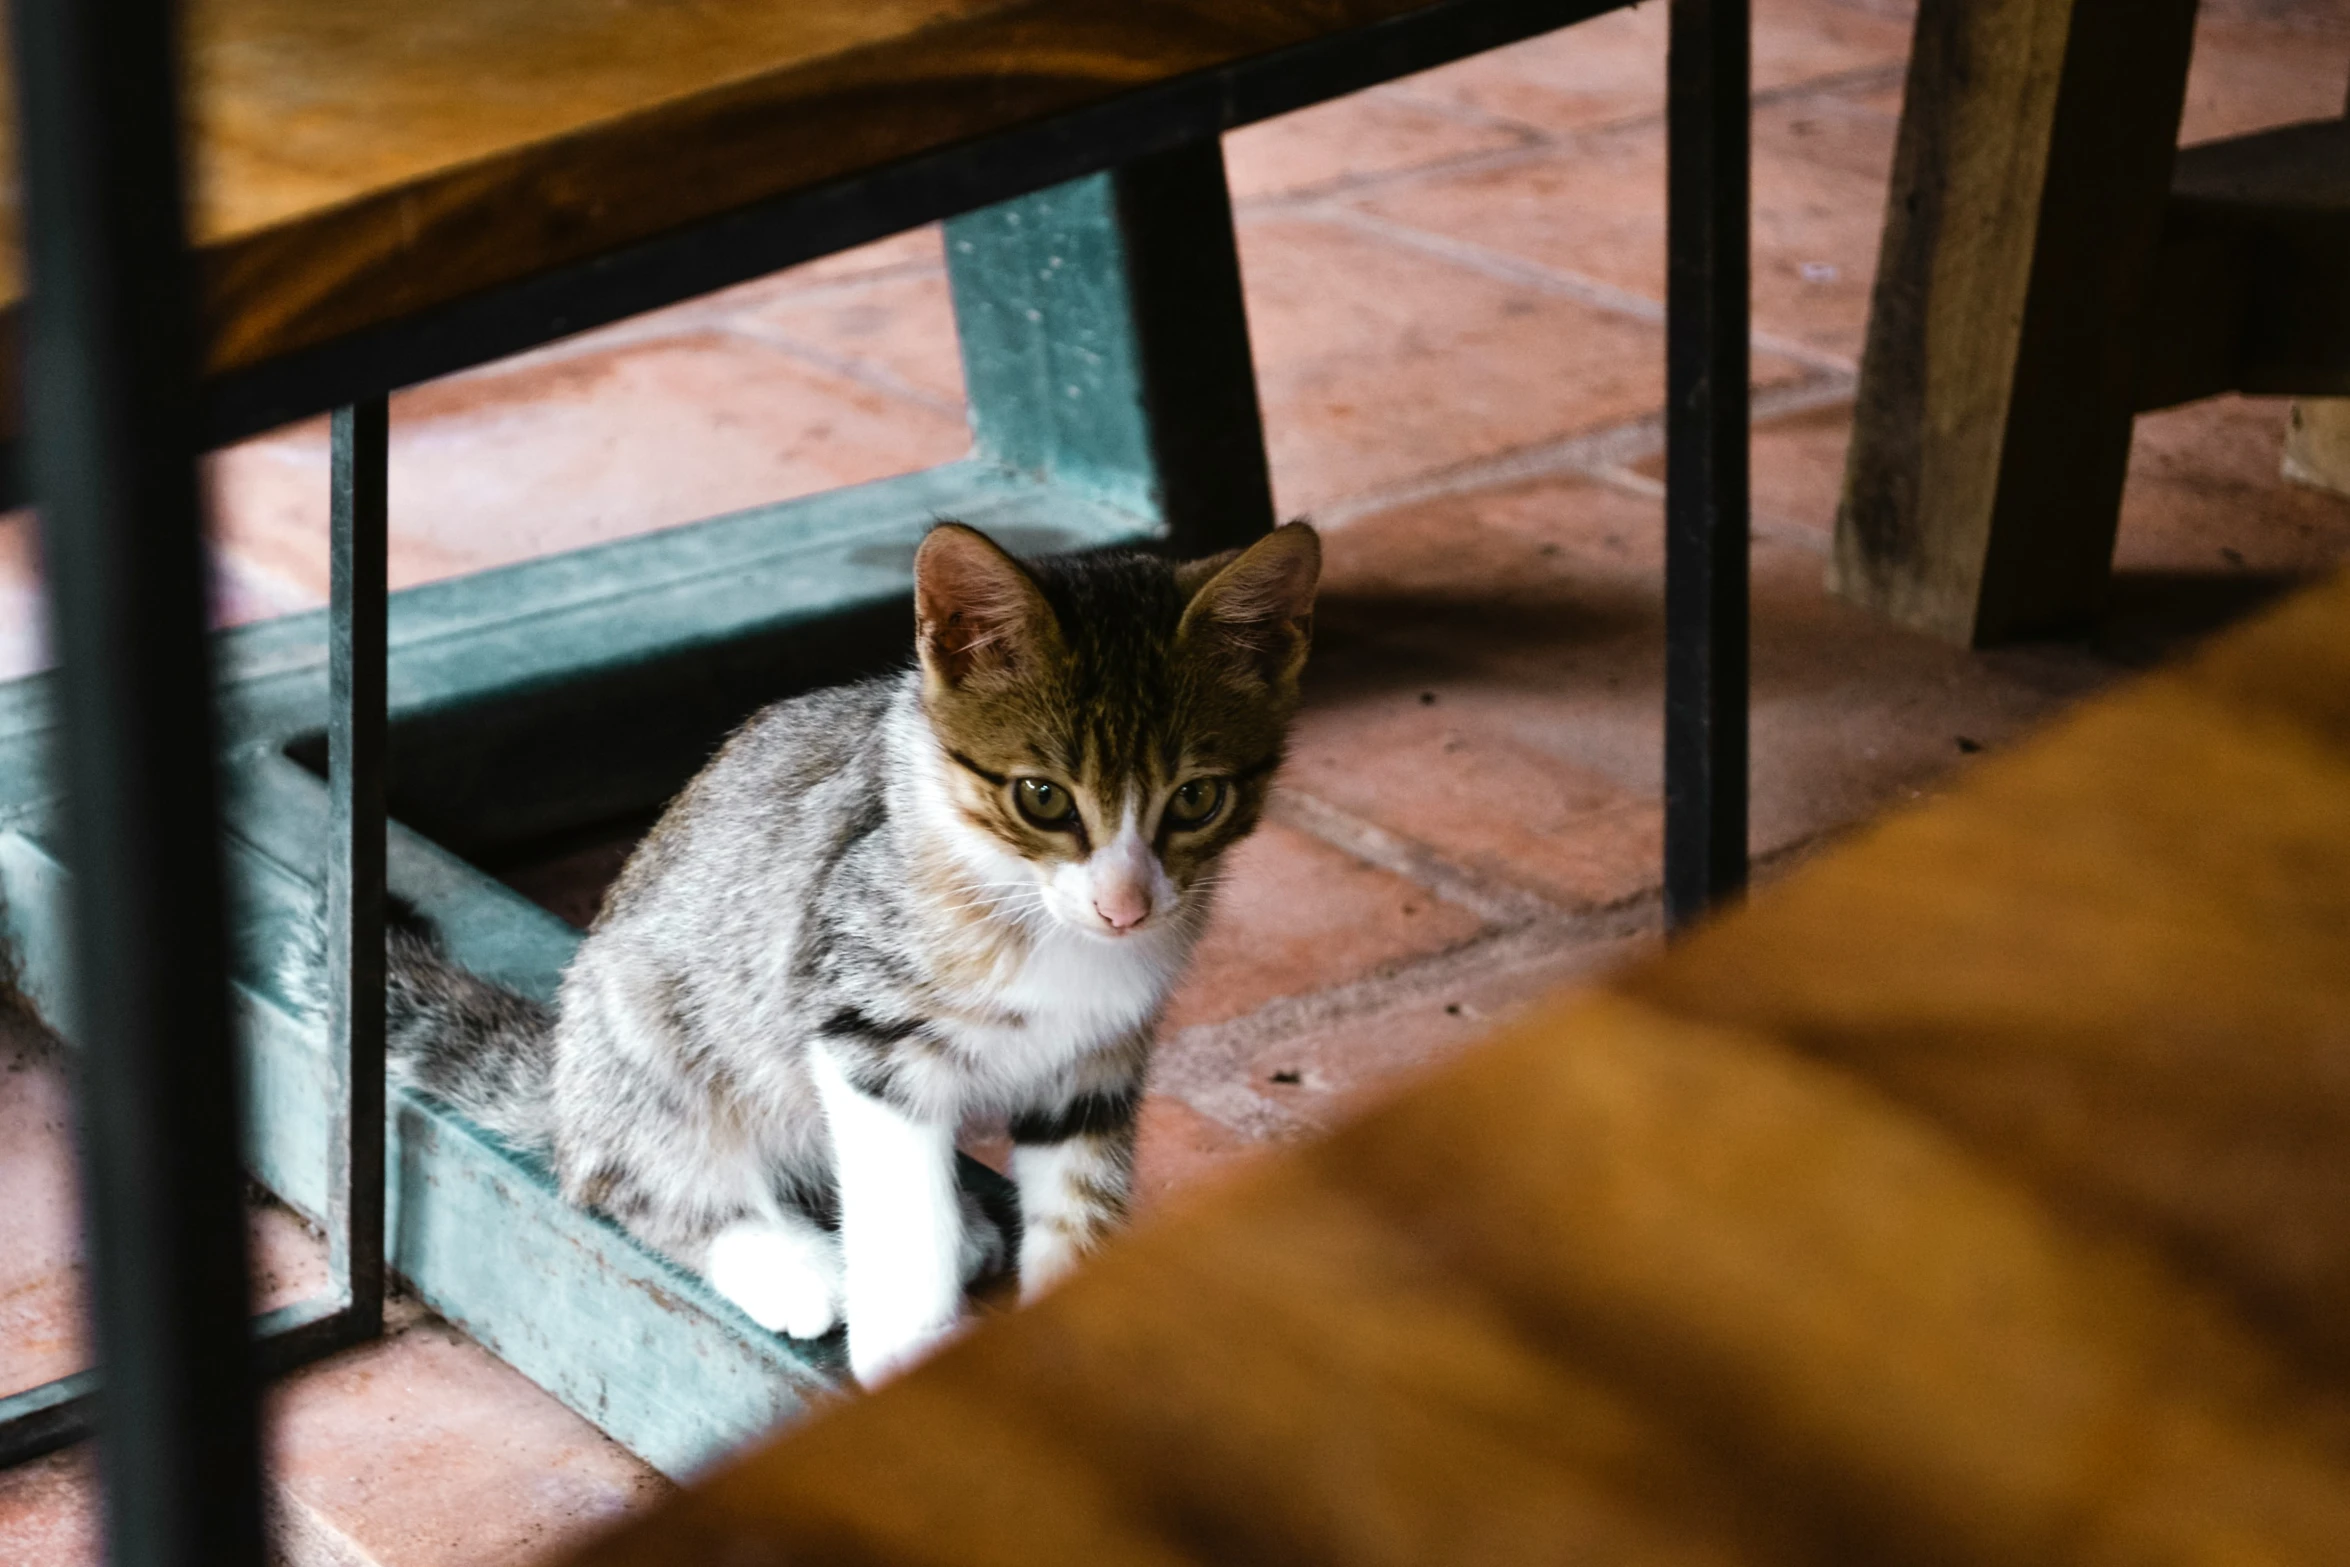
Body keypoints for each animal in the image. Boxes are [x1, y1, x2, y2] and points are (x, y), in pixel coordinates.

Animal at [300, 521, 1316, 1381]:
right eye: (1042, 797)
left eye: (1197, 799)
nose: (1125, 905)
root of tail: (562, 1085)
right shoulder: (863, 1024)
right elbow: (898, 1199)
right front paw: (911, 1349)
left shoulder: (1097, 1063)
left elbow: (1080, 1197)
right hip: (644, 1014)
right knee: (626, 1179)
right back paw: (789, 1260)